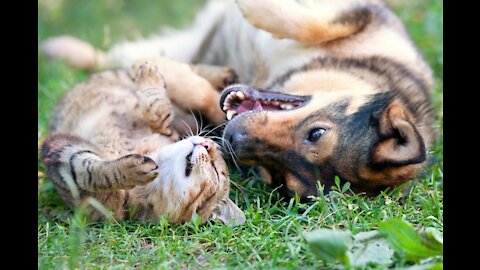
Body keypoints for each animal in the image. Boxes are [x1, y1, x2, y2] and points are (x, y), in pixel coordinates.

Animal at [41, 0, 438, 198]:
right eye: (317, 133)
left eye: (281, 179)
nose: (232, 140)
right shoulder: (365, 14)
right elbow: (311, 22)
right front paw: (254, 7)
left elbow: (201, 95)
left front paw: (173, 76)